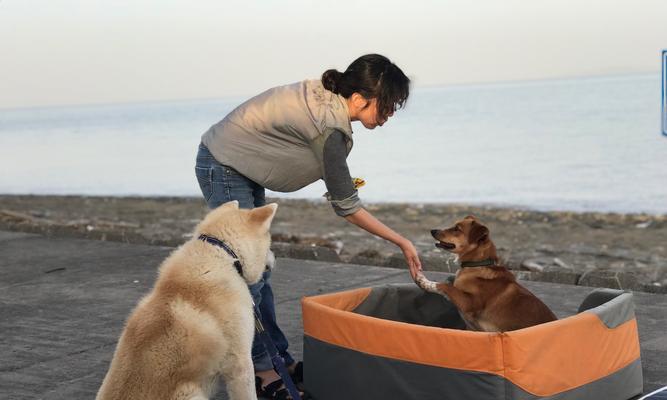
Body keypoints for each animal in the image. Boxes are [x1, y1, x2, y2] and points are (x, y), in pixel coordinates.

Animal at [414, 216, 556, 332]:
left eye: (456, 229)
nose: (432, 230)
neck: (477, 264)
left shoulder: (469, 302)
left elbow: (445, 286)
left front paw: (424, 282)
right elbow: (451, 280)